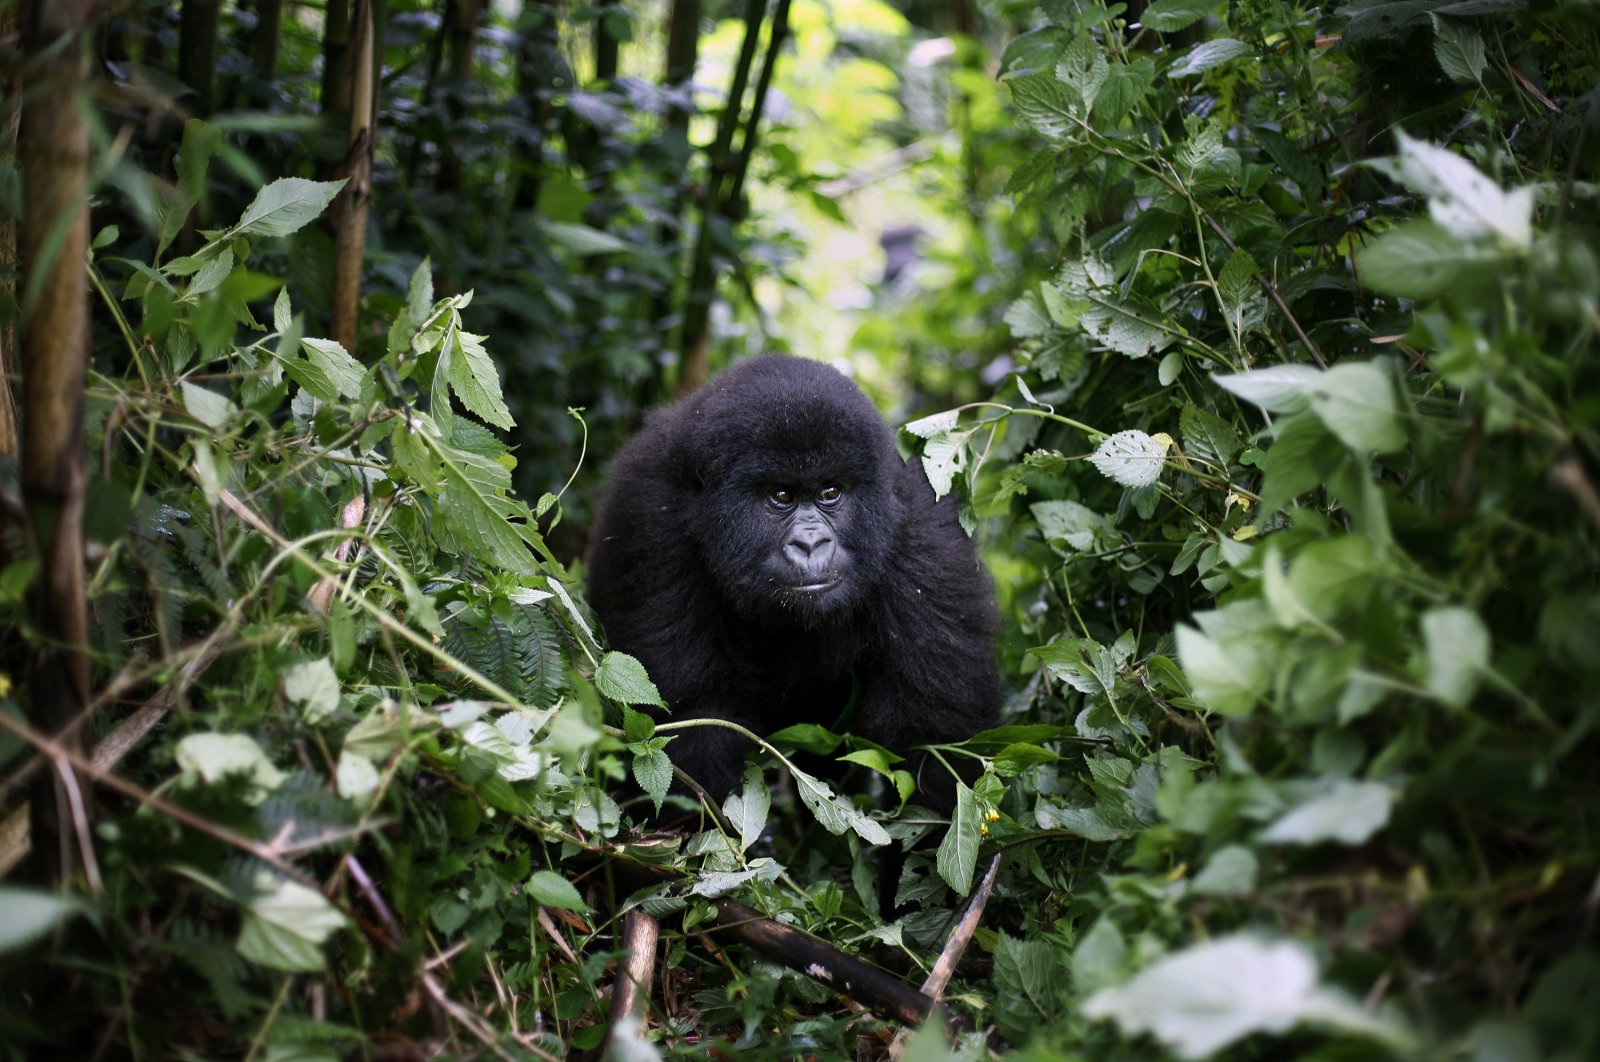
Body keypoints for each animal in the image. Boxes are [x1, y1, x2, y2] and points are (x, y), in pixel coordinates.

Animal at [585, 351, 998, 809]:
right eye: (781, 496)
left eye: (831, 492)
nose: (810, 543)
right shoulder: (649, 520)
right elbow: (696, 719)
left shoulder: (924, 529)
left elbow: (932, 739)